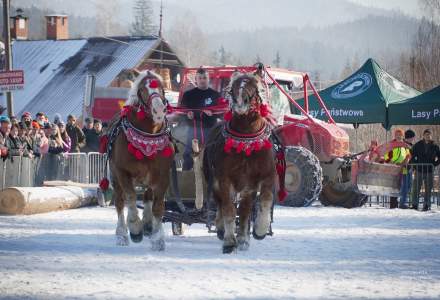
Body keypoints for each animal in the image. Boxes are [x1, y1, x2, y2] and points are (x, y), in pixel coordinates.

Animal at [106, 70, 174, 251]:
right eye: (143, 89)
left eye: (162, 87)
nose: (159, 109)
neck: (148, 135)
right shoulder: (122, 172)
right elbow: (130, 198)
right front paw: (135, 228)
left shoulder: (164, 174)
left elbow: (158, 206)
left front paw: (158, 239)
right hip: (115, 177)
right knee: (120, 201)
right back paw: (122, 234)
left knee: (147, 197)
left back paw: (148, 225)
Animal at [203, 72, 276, 253]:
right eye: (233, 88)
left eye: (254, 87)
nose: (240, 102)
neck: (246, 142)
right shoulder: (224, 180)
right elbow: (229, 210)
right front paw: (229, 241)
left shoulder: (264, 178)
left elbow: (263, 202)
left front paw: (258, 231)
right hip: (213, 181)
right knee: (221, 204)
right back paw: (221, 229)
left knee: (244, 210)